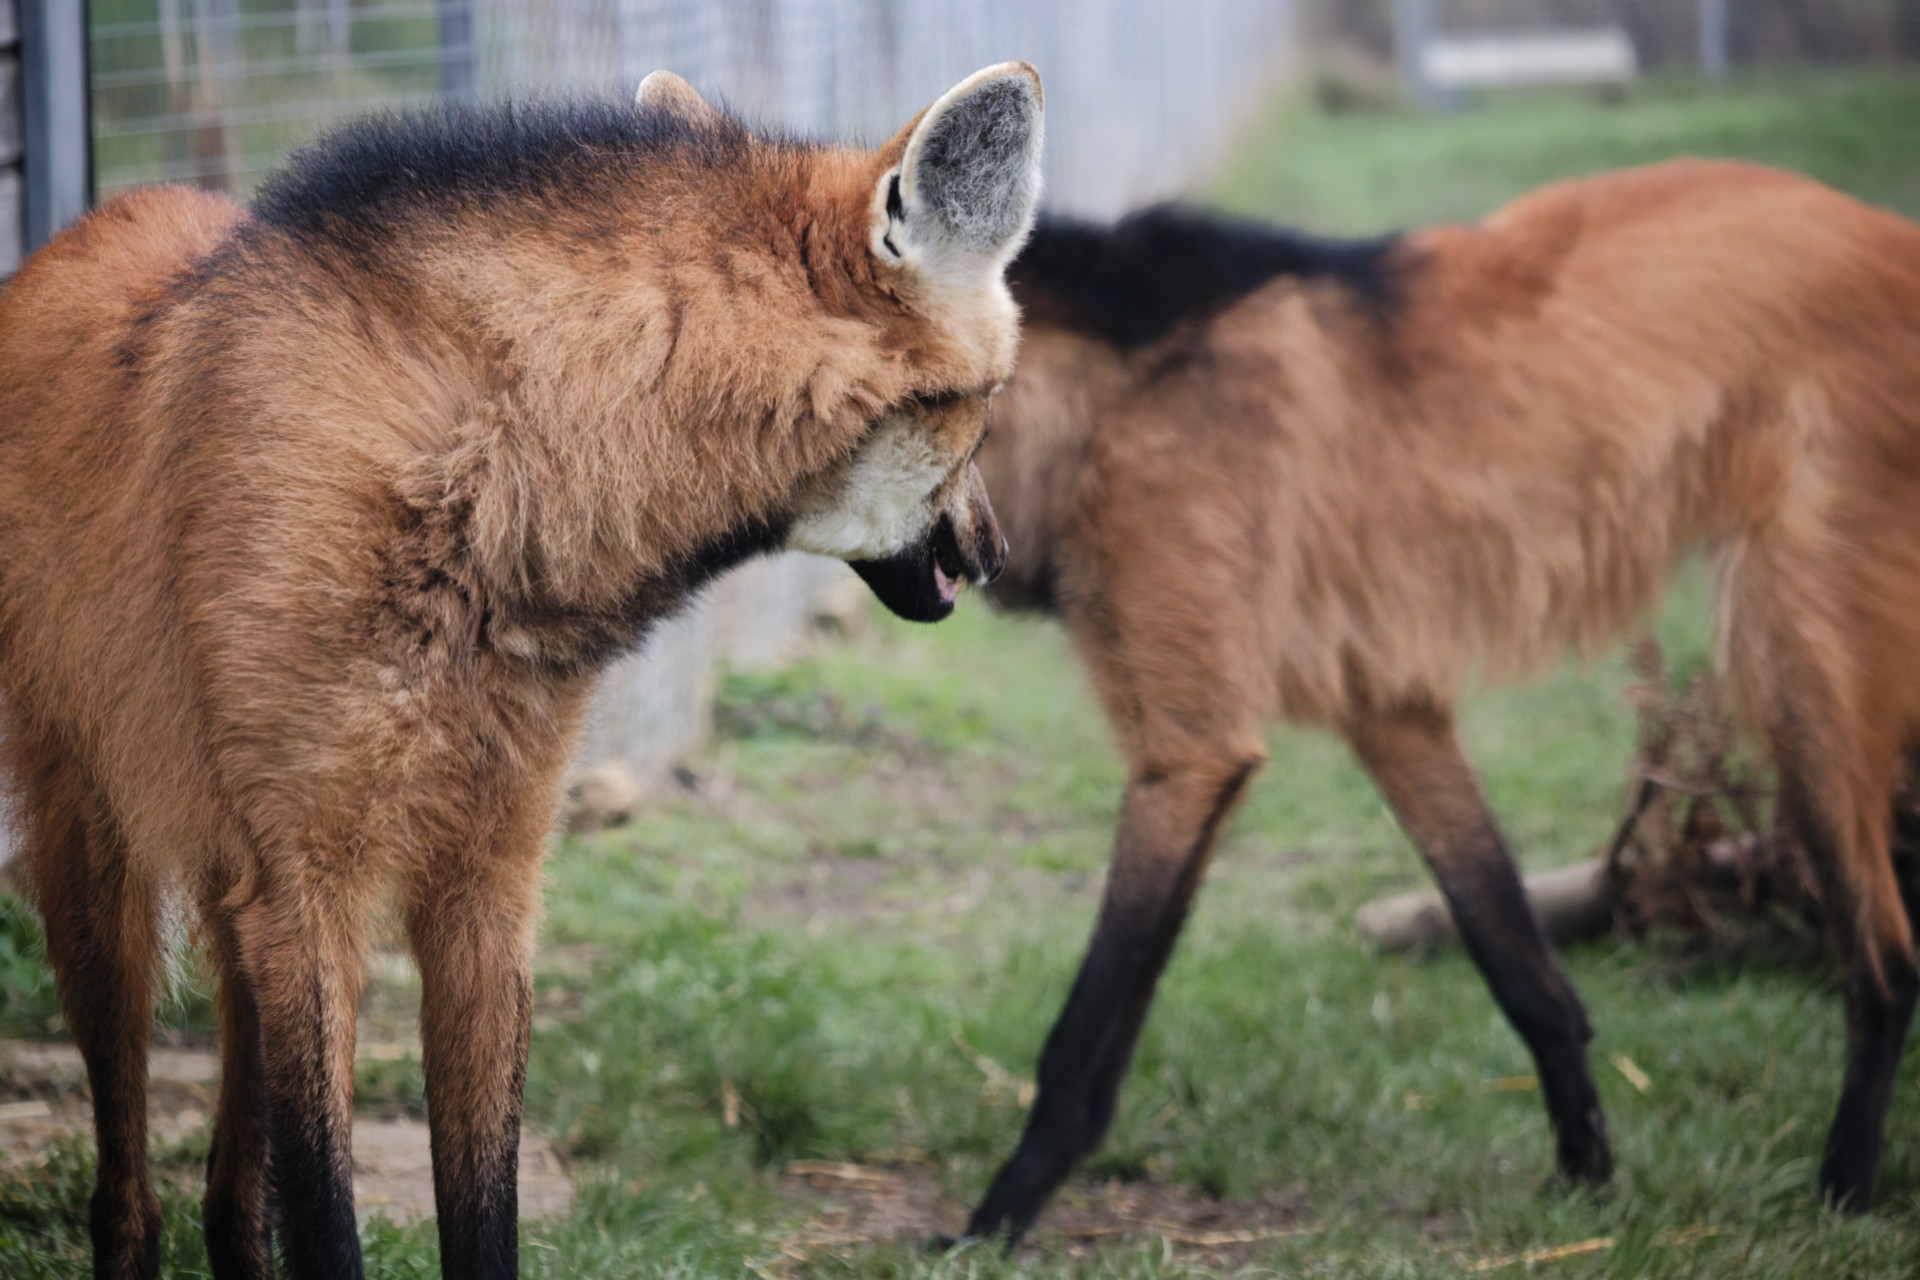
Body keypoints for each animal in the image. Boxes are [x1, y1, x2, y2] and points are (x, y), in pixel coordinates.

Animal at [0, 65, 1041, 1279]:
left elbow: (483, 1204)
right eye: (986, 411)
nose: (994, 553)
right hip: (104, 870)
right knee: (128, 1186)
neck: (480, 485)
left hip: (233, 881)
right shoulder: (311, 890)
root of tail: (83, 226)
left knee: (229, 1184)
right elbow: (330, 1216)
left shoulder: (487, 880)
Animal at [962, 160, 1920, 1240]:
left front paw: (990, 1221)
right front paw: (1589, 1181)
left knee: (1885, 963)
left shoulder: (1192, 750)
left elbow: (1080, 1031)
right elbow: (1521, 968)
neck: (1099, 401)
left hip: (1797, 662)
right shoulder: (1389, 709)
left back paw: (1841, 1198)